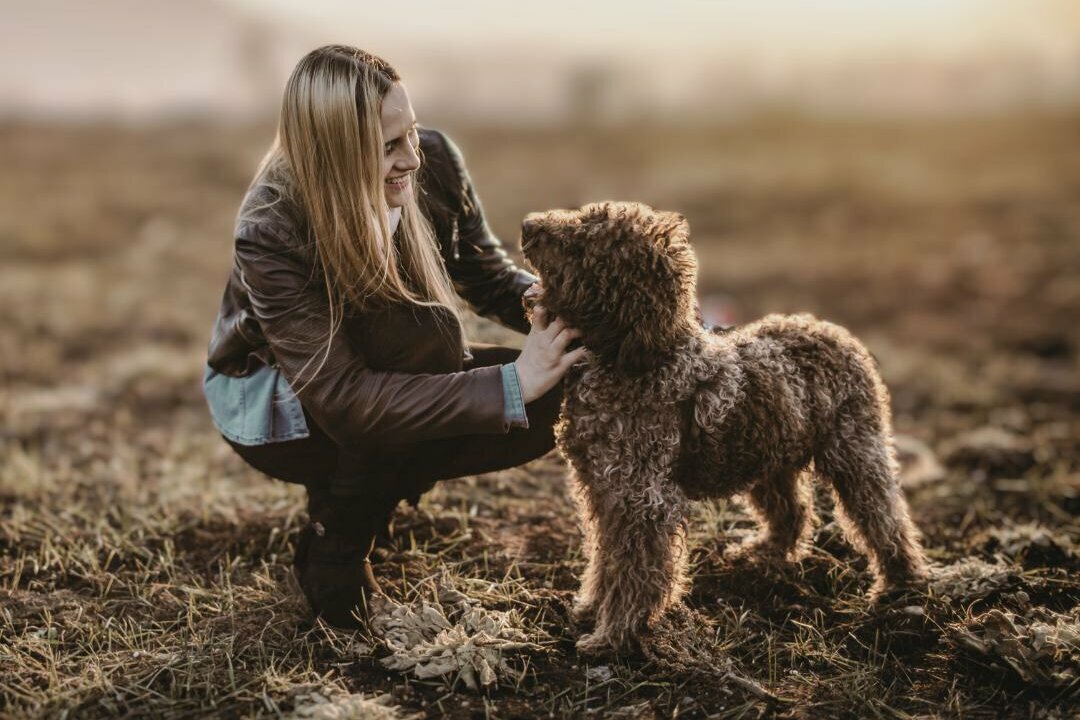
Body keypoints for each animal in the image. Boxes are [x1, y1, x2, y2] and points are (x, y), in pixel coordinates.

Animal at [518, 199, 924, 656]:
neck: (634, 359)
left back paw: (901, 584)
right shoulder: (604, 492)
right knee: (794, 514)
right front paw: (591, 607)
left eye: (585, 243)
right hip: (768, 456)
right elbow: (605, 558)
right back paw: (763, 553)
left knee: (884, 519)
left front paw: (614, 635)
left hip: (855, 453)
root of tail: (831, 331)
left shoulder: (642, 502)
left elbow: (635, 571)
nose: (527, 225)